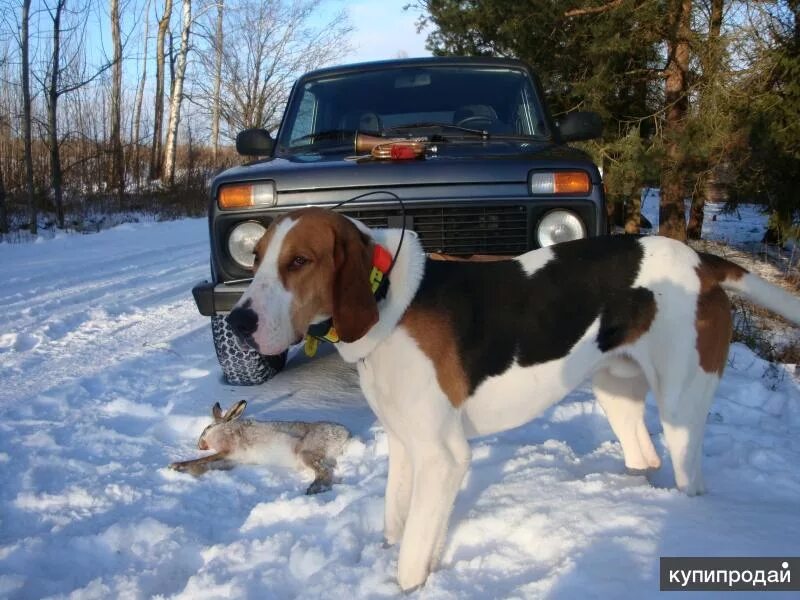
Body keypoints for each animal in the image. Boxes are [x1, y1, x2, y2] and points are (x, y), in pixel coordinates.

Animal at [223, 206, 800, 592]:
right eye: (255, 257)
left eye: (300, 261)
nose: (238, 322)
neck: (387, 296)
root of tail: (703, 261)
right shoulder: (407, 446)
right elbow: (396, 524)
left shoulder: (443, 457)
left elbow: (410, 558)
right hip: (616, 392)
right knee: (645, 457)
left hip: (681, 407)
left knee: (687, 473)